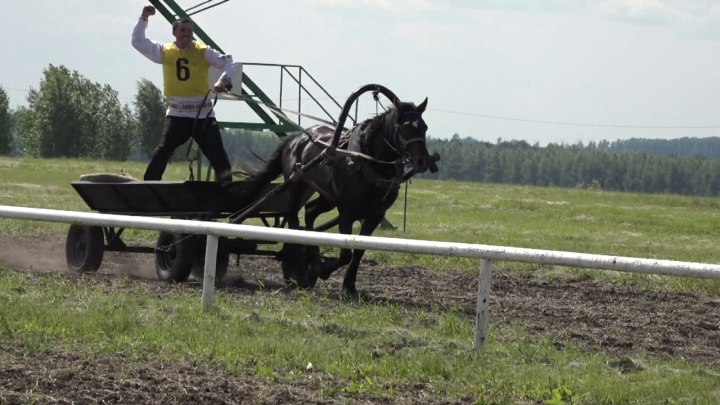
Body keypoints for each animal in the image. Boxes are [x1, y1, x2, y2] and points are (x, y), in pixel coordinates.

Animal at [231, 96, 434, 296]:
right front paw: (323, 269)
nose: (422, 161)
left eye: (424, 126)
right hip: (297, 184)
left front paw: (349, 286)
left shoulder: (375, 215)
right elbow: (346, 254)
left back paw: (310, 260)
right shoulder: (346, 213)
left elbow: (359, 251)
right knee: (293, 217)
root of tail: (295, 139)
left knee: (310, 212)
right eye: (405, 126)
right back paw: (300, 261)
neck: (368, 163)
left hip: (327, 196)